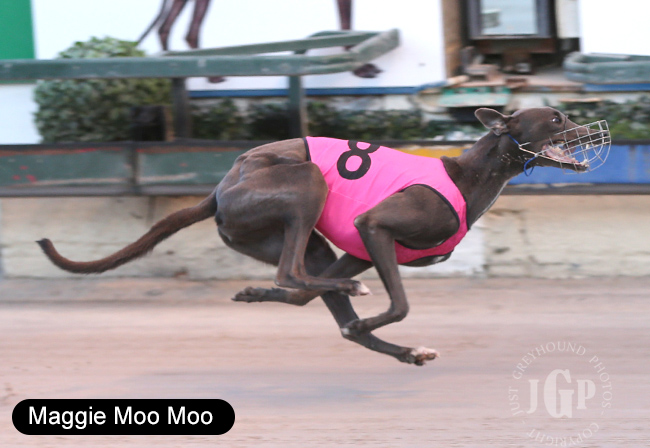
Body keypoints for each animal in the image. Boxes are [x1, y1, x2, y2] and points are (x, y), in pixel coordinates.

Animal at [37, 107, 610, 366]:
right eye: (556, 119)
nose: (590, 126)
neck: (469, 175)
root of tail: (220, 190)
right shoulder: (373, 227)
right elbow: (398, 303)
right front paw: (371, 317)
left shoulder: (358, 249)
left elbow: (343, 311)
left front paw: (365, 328)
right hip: (305, 183)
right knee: (292, 274)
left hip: (305, 239)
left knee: (298, 288)